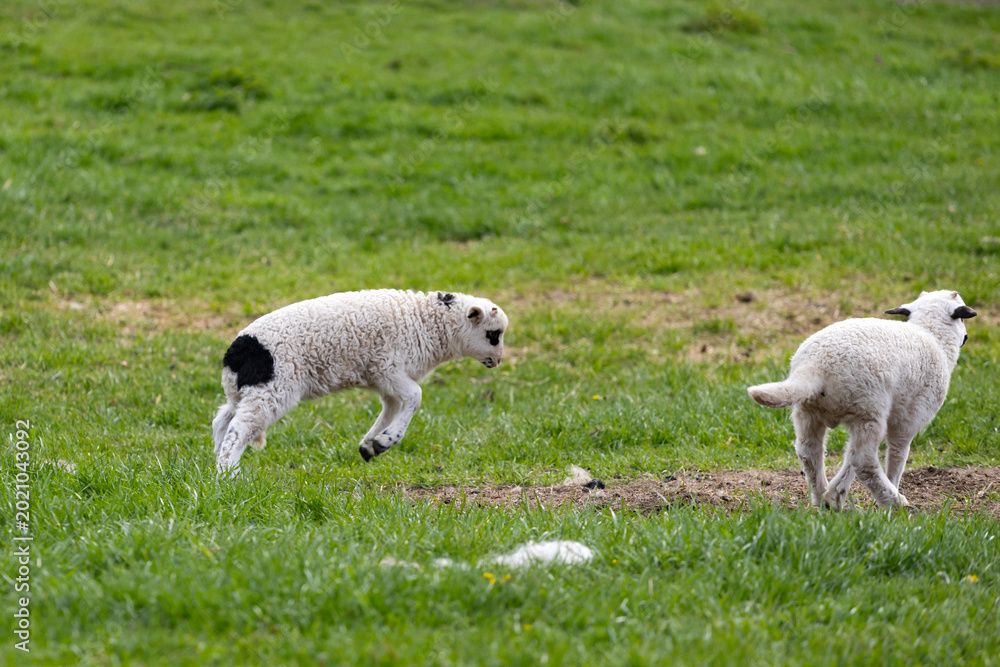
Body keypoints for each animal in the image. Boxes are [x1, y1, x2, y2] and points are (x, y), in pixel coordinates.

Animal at [212, 289, 509, 474]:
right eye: (493, 335)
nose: (498, 361)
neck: (430, 324)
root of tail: (235, 353)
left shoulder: (383, 380)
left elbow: (390, 409)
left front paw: (370, 445)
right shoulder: (388, 368)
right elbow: (415, 396)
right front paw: (384, 441)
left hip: (245, 391)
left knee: (222, 419)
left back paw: (216, 466)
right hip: (274, 389)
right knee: (239, 429)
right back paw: (229, 477)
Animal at [747, 290, 976, 509]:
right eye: (962, 318)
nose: (966, 337)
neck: (933, 336)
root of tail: (815, 365)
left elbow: (847, 456)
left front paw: (835, 493)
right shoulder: (910, 418)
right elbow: (898, 455)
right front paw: (889, 489)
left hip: (809, 409)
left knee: (810, 451)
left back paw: (824, 498)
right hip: (868, 409)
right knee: (863, 461)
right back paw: (893, 500)